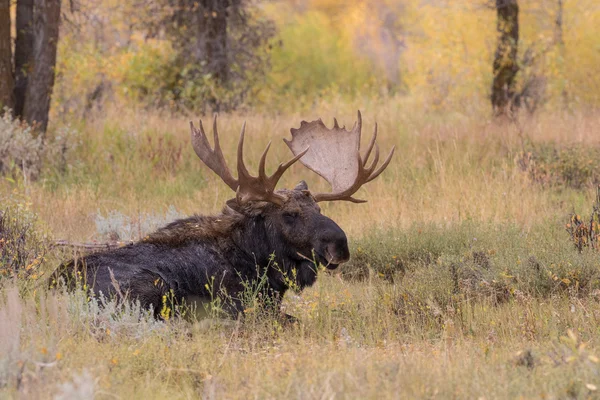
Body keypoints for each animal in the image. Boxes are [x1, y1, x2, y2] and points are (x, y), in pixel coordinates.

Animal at [56, 111, 394, 318]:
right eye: (290, 214)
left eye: (320, 208)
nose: (340, 244)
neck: (255, 259)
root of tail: (51, 287)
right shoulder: (238, 304)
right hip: (152, 286)